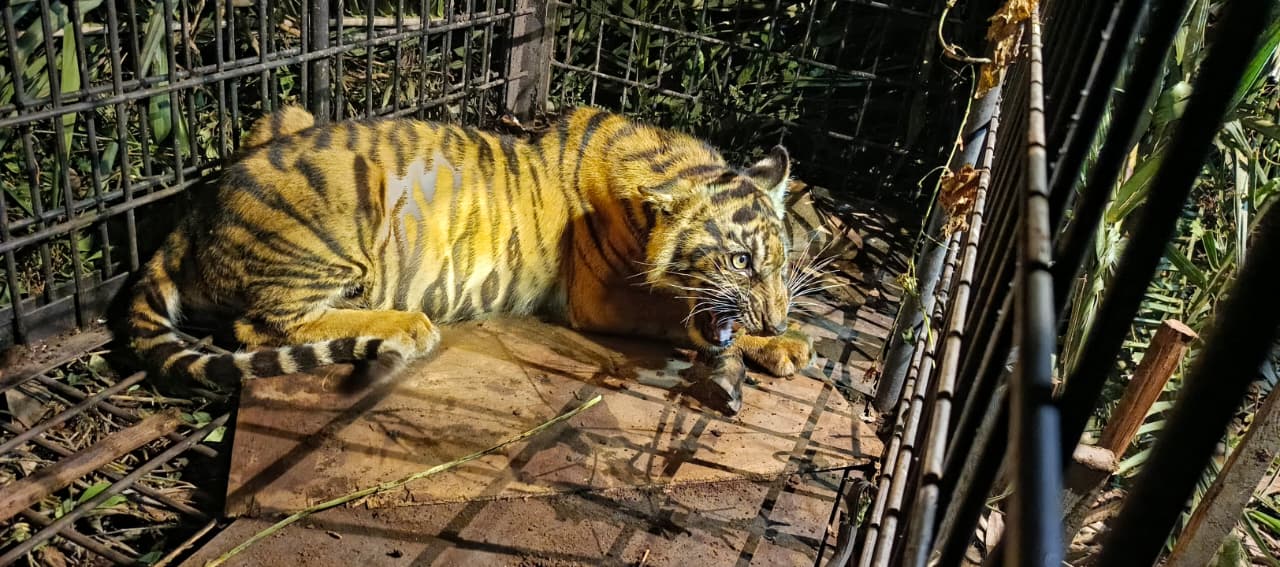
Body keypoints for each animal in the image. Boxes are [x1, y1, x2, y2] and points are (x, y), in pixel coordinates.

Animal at [126, 105, 819, 414]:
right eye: (739, 262)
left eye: (780, 261)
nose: (777, 320)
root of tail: (193, 211)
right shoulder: (600, 299)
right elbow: (674, 316)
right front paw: (784, 344)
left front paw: (783, 339)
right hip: (342, 218)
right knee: (258, 326)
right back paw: (405, 324)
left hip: (284, 116)